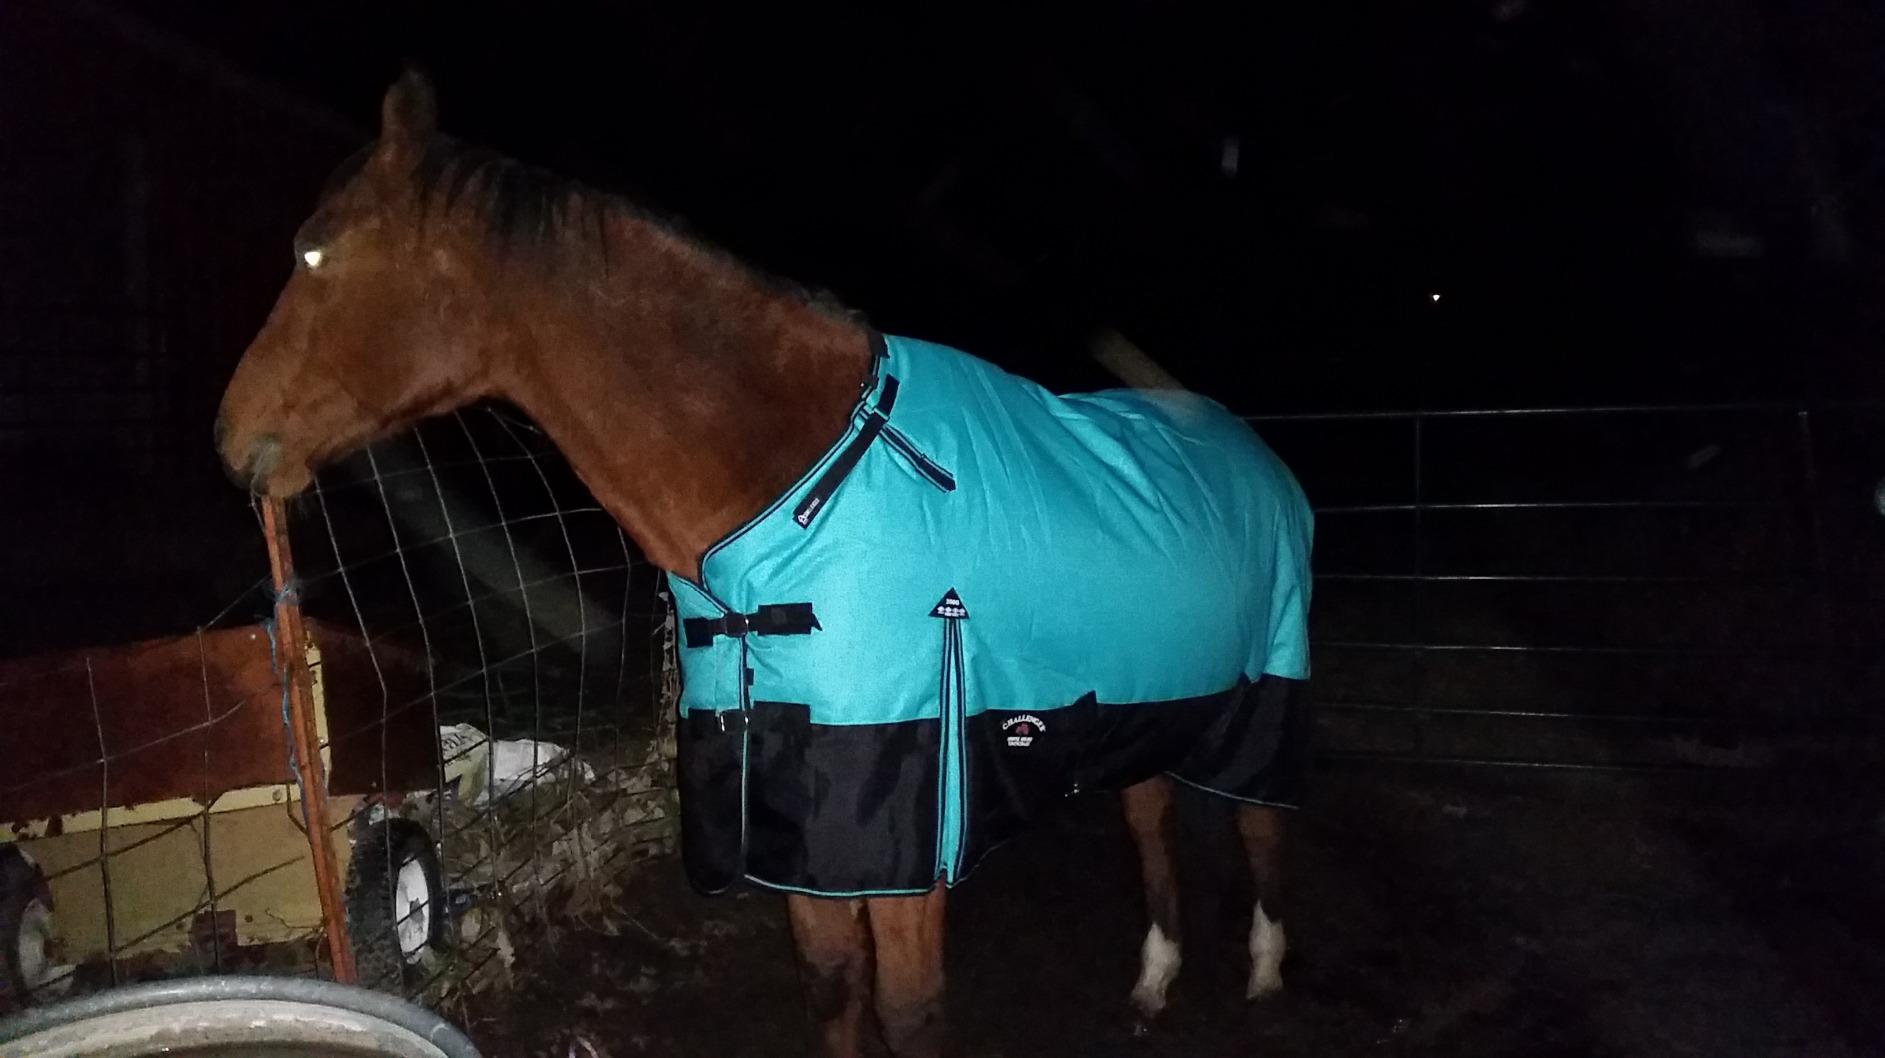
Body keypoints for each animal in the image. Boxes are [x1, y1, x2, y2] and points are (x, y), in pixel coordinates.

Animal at [215, 72, 1314, 1058]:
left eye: (314, 249)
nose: (230, 436)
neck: (806, 487)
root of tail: (1243, 443)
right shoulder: (801, 811)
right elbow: (832, 985)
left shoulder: (903, 825)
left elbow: (910, 1013)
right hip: (1144, 704)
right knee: (1152, 820)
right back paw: (1155, 980)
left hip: (1259, 696)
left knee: (1262, 827)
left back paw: (1265, 969)